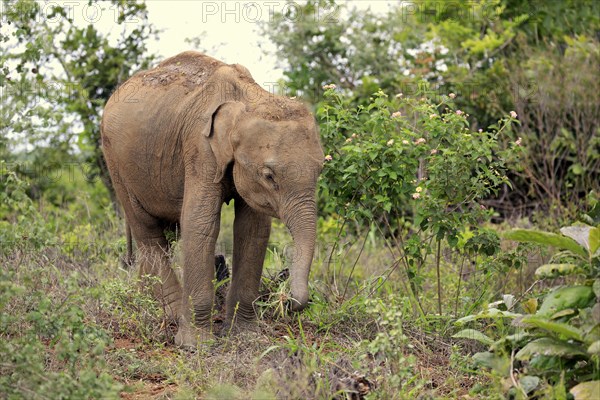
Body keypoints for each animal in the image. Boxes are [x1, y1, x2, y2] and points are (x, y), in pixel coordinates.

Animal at [101, 51, 324, 346]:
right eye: (269, 176)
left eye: (321, 171)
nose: (287, 301)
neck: (248, 99)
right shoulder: (199, 148)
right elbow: (200, 223)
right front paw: (194, 345)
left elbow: (252, 230)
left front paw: (244, 335)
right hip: (115, 162)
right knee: (147, 231)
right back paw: (171, 314)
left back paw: (147, 301)